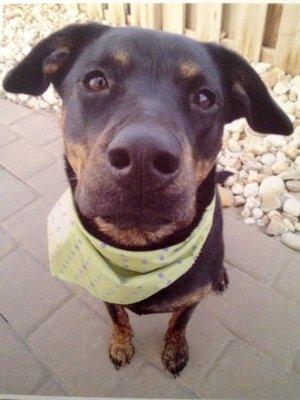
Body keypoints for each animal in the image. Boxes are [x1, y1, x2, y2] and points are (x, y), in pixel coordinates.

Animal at [2, 23, 292, 376]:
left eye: (204, 98)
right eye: (96, 81)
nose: (143, 154)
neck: (138, 247)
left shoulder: (192, 297)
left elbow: (179, 322)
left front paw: (175, 349)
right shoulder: (105, 287)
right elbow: (118, 316)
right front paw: (121, 344)